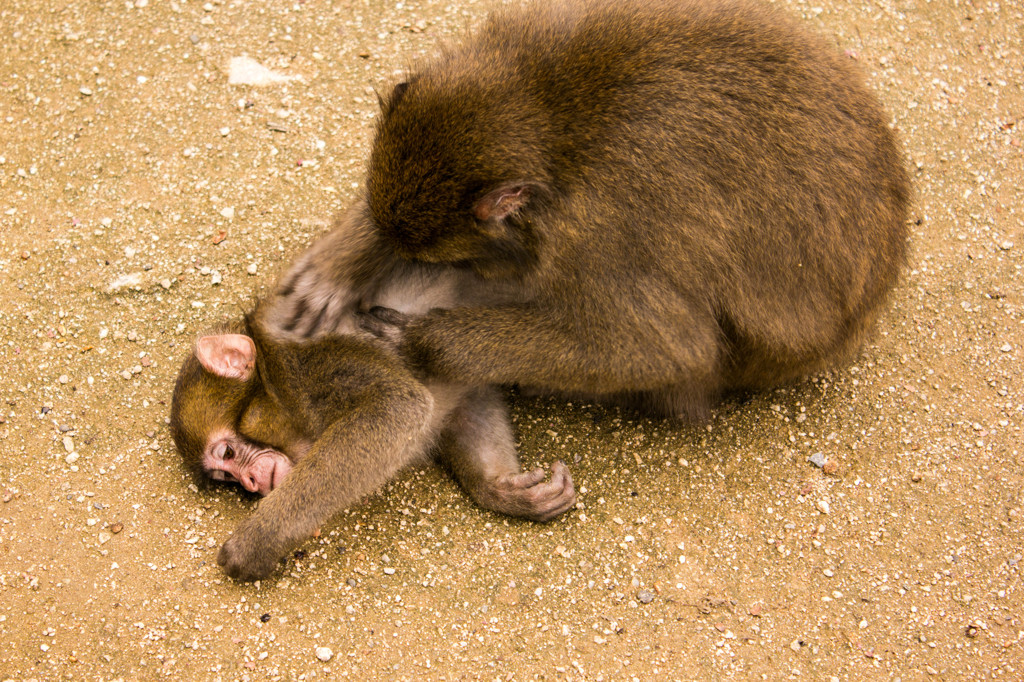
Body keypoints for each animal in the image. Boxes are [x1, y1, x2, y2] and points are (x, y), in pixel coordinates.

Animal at [176, 0, 913, 577]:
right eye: (224, 475)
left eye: (228, 454)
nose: (249, 483)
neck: (554, 120)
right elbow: (458, 400)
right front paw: (503, 486)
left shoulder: (599, 226)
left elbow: (661, 347)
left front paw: (256, 541)